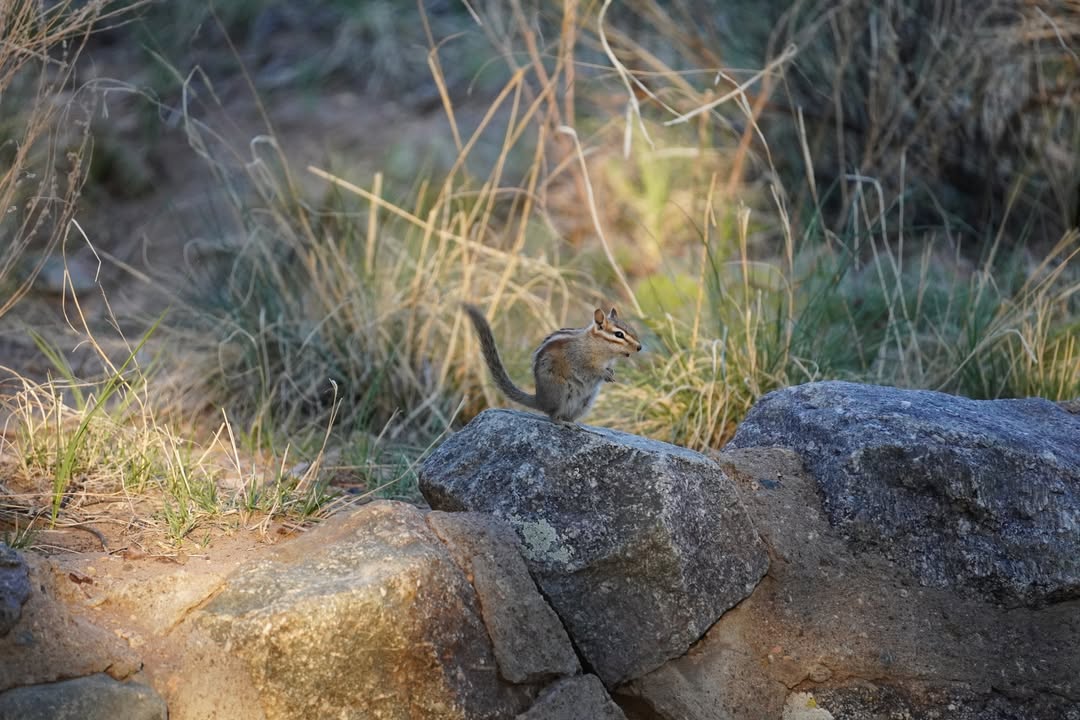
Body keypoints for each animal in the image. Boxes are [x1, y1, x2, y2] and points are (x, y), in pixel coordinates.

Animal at [463, 303, 643, 423]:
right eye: (619, 334)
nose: (639, 347)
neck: (597, 345)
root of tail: (540, 399)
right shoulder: (581, 359)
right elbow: (591, 369)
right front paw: (605, 373)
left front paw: (611, 373)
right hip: (561, 391)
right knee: (553, 416)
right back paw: (563, 424)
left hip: (586, 402)